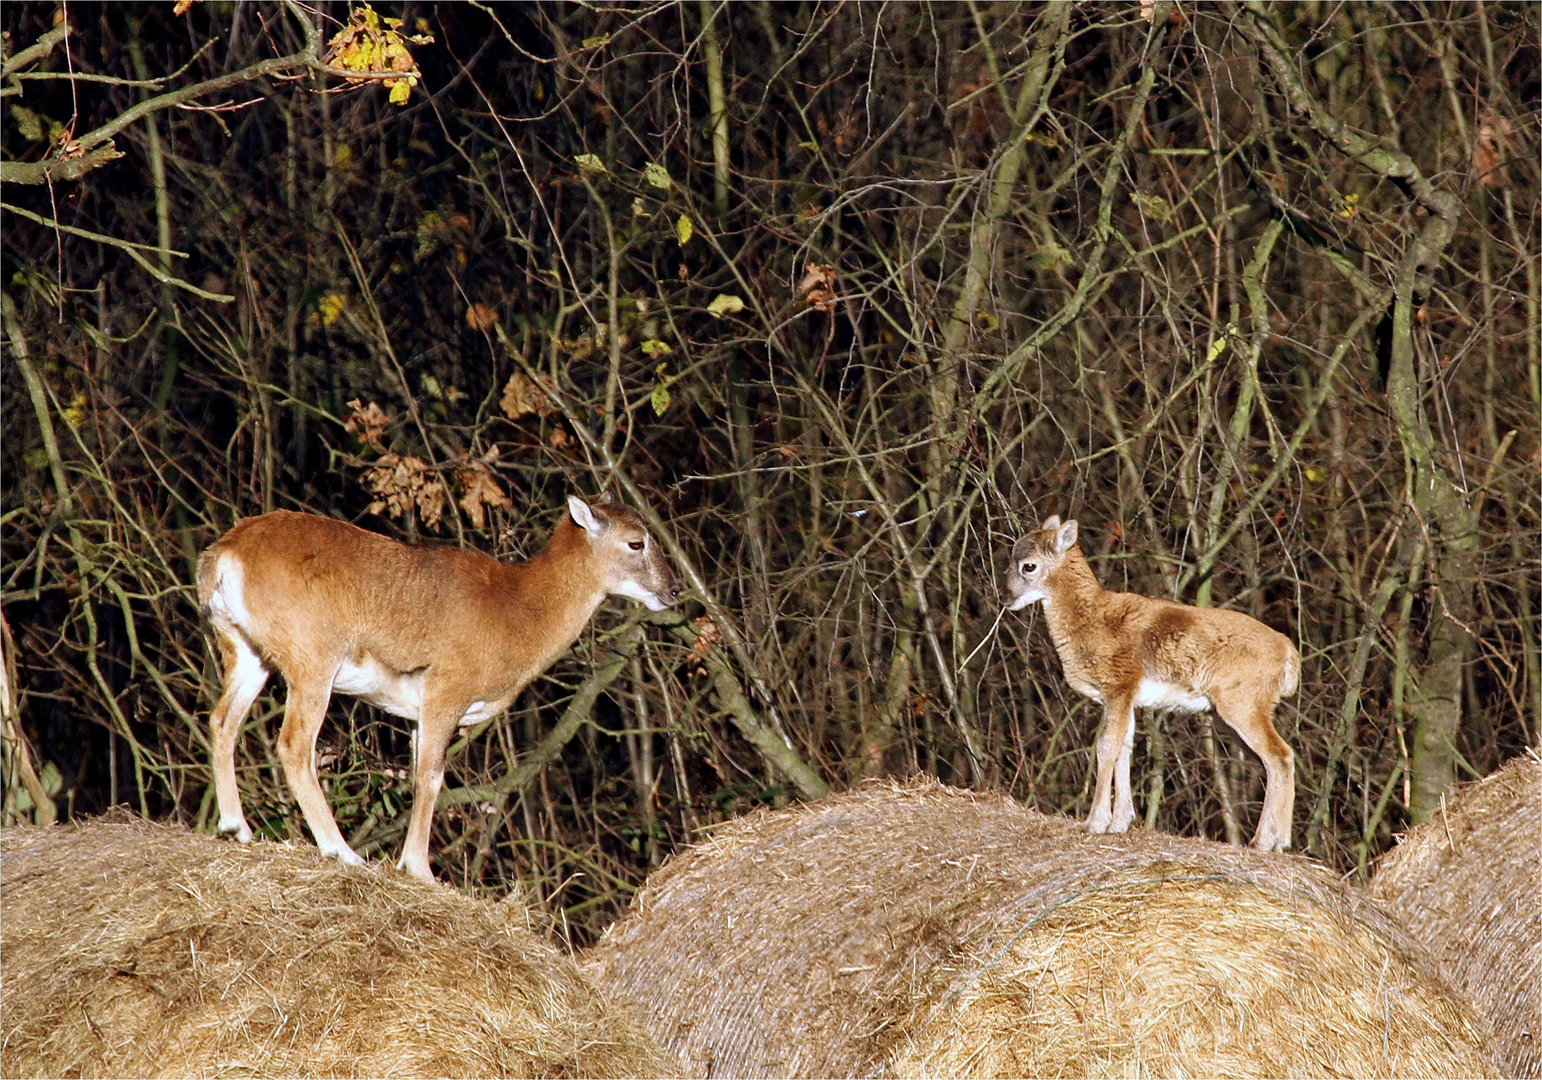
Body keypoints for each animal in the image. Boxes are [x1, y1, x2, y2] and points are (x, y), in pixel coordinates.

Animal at [195, 493, 678, 882]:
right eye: (637, 542)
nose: (673, 591)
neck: (518, 615)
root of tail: (225, 555)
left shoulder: (415, 710)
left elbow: (416, 776)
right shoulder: (448, 686)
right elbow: (431, 777)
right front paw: (420, 869)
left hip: (243, 646)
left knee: (222, 719)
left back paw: (236, 827)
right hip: (313, 652)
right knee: (293, 743)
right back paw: (342, 851)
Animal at [1005, 515, 1295, 851]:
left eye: (1028, 566)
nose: (1006, 597)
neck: (1091, 621)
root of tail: (1289, 652)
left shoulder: (1118, 682)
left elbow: (1106, 746)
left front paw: (1094, 822)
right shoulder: (1128, 697)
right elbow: (1125, 748)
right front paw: (1120, 822)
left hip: (1242, 700)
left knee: (1280, 755)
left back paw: (1268, 841)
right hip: (1230, 712)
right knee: (1272, 761)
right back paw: (1274, 840)